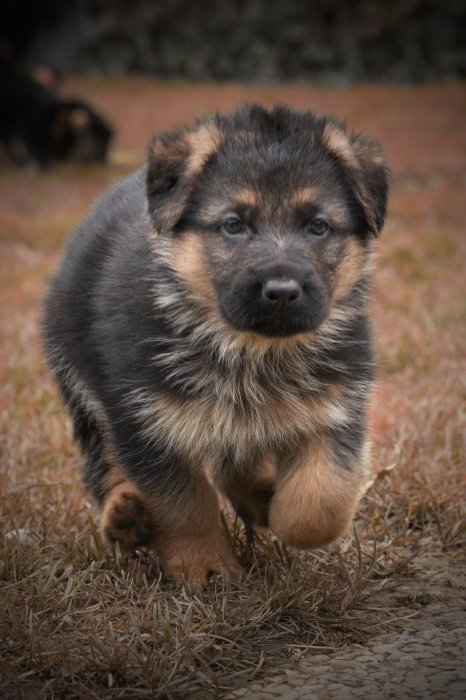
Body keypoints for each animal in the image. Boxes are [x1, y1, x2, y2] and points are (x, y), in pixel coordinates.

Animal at [43, 104, 389, 585]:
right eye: (233, 225)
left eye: (318, 226)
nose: (282, 291)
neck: (250, 350)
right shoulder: (146, 417)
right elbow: (184, 503)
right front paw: (204, 566)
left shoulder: (336, 404)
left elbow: (319, 500)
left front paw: (279, 513)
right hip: (82, 386)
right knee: (103, 462)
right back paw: (126, 514)